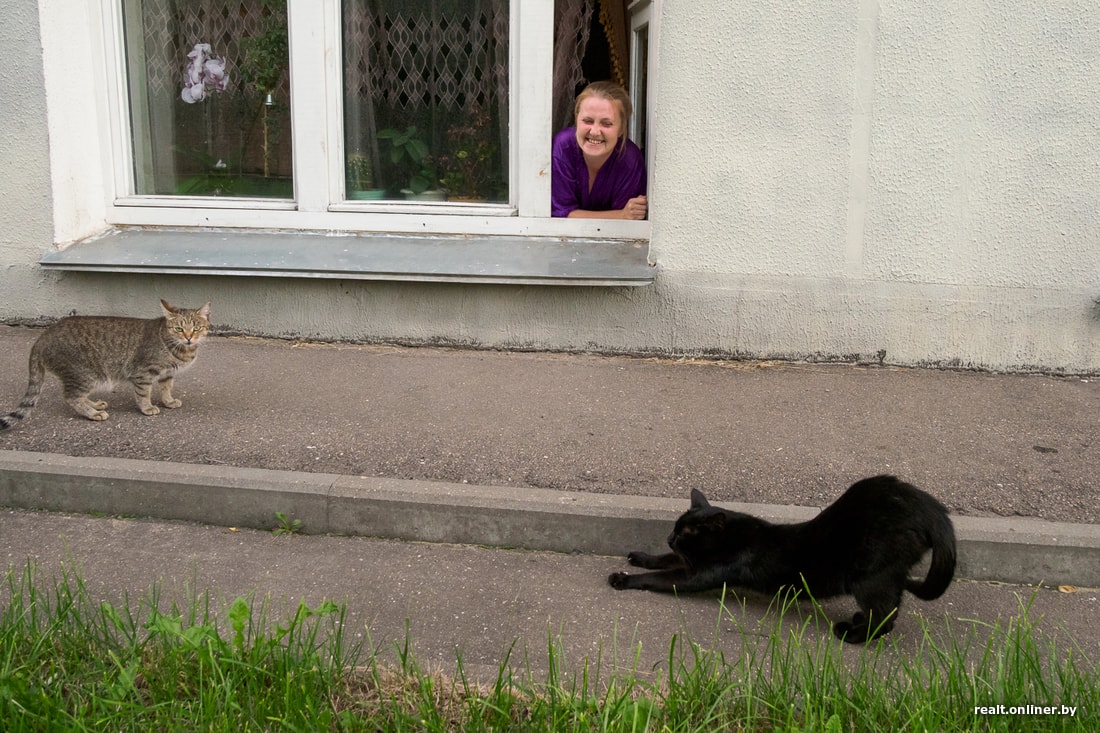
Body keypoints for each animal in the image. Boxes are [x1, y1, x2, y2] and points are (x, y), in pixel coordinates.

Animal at [0, 299, 209, 429]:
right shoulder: (143, 373)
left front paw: (168, 401)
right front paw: (147, 408)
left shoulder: (167, 373)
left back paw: (95, 404)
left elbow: (166, 389)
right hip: (86, 374)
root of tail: (43, 336)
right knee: (71, 396)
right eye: (179, 329)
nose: (189, 337)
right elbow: (144, 394)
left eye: (197, 328)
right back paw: (92, 413)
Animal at [607, 473, 959, 638]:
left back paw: (852, 634)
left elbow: (659, 577)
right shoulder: (691, 562)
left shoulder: (697, 574)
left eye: (682, 533)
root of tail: (929, 508)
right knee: (891, 607)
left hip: (870, 577)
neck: (731, 538)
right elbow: (661, 561)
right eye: (674, 530)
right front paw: (638, 555)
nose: (669, 537)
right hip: (888, 575)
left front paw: (622, 579)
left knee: (886, 616)